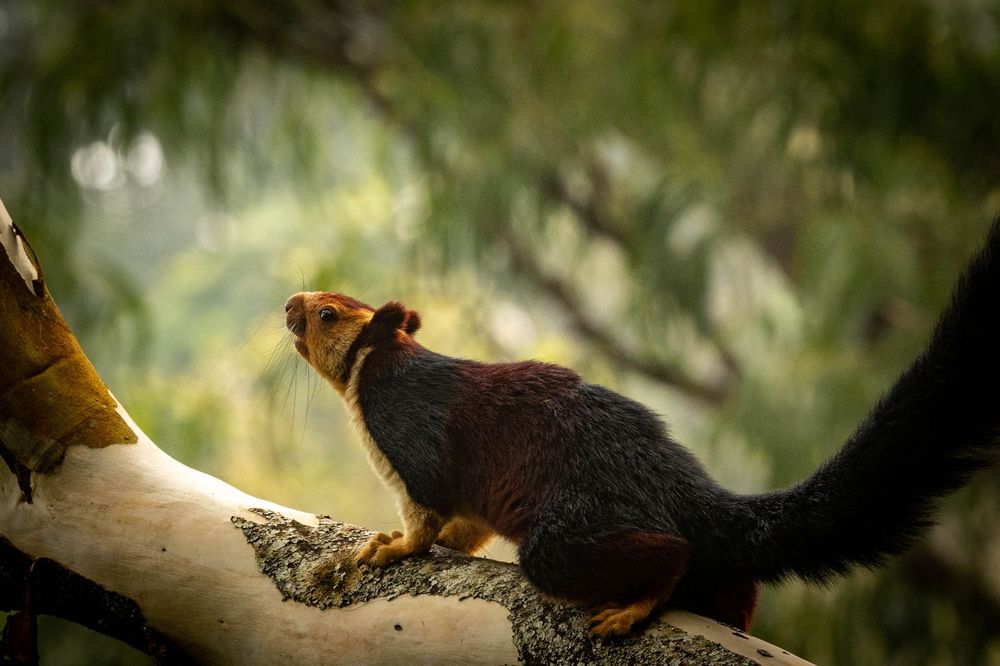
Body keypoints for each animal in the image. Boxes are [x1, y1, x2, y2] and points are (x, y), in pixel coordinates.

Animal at [284, 220, 1000, 638]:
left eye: (328, 314)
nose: (289, 303)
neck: (376, 369)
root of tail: (690, 494)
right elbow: (466, 527)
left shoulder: (413, 436)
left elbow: (426, 517)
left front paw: (390, 547)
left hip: (569, 535)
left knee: (669, 554)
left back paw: (631, 607)